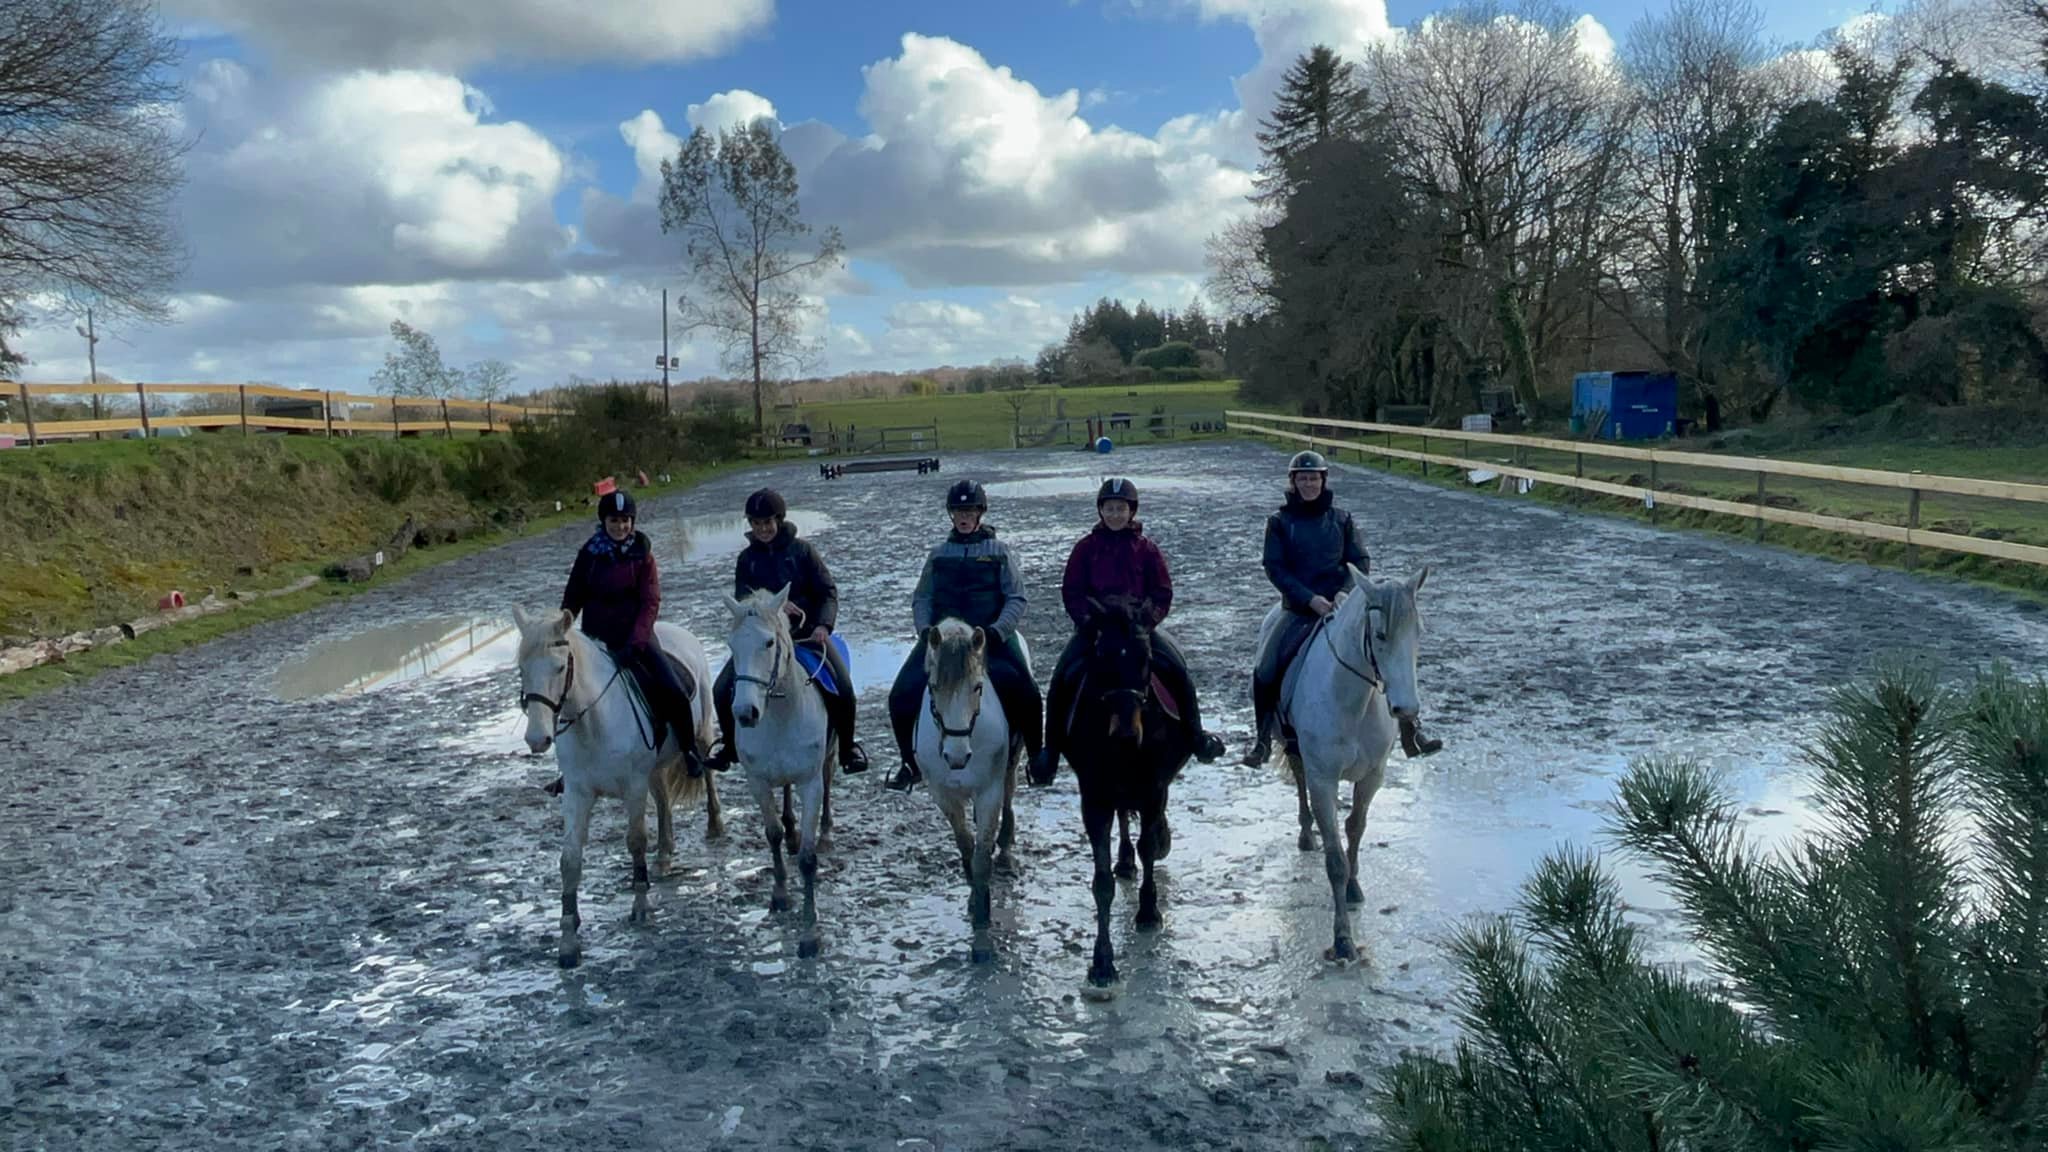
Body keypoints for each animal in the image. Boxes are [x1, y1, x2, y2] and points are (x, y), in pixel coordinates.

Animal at [512, 606, 720, 963]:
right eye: (522, 670)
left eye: (559, 668)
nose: (537, 739)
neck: (592, 722)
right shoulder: (578, 794)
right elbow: (569, 860)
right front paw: (568, 939)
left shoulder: (632, 786)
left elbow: (635, 841)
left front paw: (640, 905)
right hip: (653, 769)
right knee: (663, 801)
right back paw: (664, 853)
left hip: (701, 735)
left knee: (705, 773)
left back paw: (715, 825)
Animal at [729, 586, 839, 955]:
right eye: (731, 645)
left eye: (768, 643)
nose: (745, 712)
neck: (778, 715)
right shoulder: (757, 782)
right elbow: (773, 833)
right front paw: (779, 896)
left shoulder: (810, 783)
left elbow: (807, 859)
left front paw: (810, 932)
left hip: (829, 760)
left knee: (829, 782)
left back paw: (826, 831)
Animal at [917, 619, 1024, 959]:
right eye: (933, 687)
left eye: (977, 687)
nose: (956, 756)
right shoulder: (943, 794)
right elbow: (966, 846)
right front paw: (974, 897)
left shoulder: (988, 791)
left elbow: (981, 856)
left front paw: (982, 917)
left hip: (1011, 765)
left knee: (1009, 795)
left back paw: (1005, 850)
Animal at [1253, 565, 1433, 959]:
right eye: (1379, 635)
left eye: (1418, 633)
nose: (1406, 709)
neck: (1355, 700)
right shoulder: (1323, 779)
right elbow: (1334, 859)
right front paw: (1343, 939)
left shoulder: (1372, 777)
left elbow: (1355, 829)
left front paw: (1353, 888)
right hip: (1293, 748)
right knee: (1300, 781)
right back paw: (1307, 833)